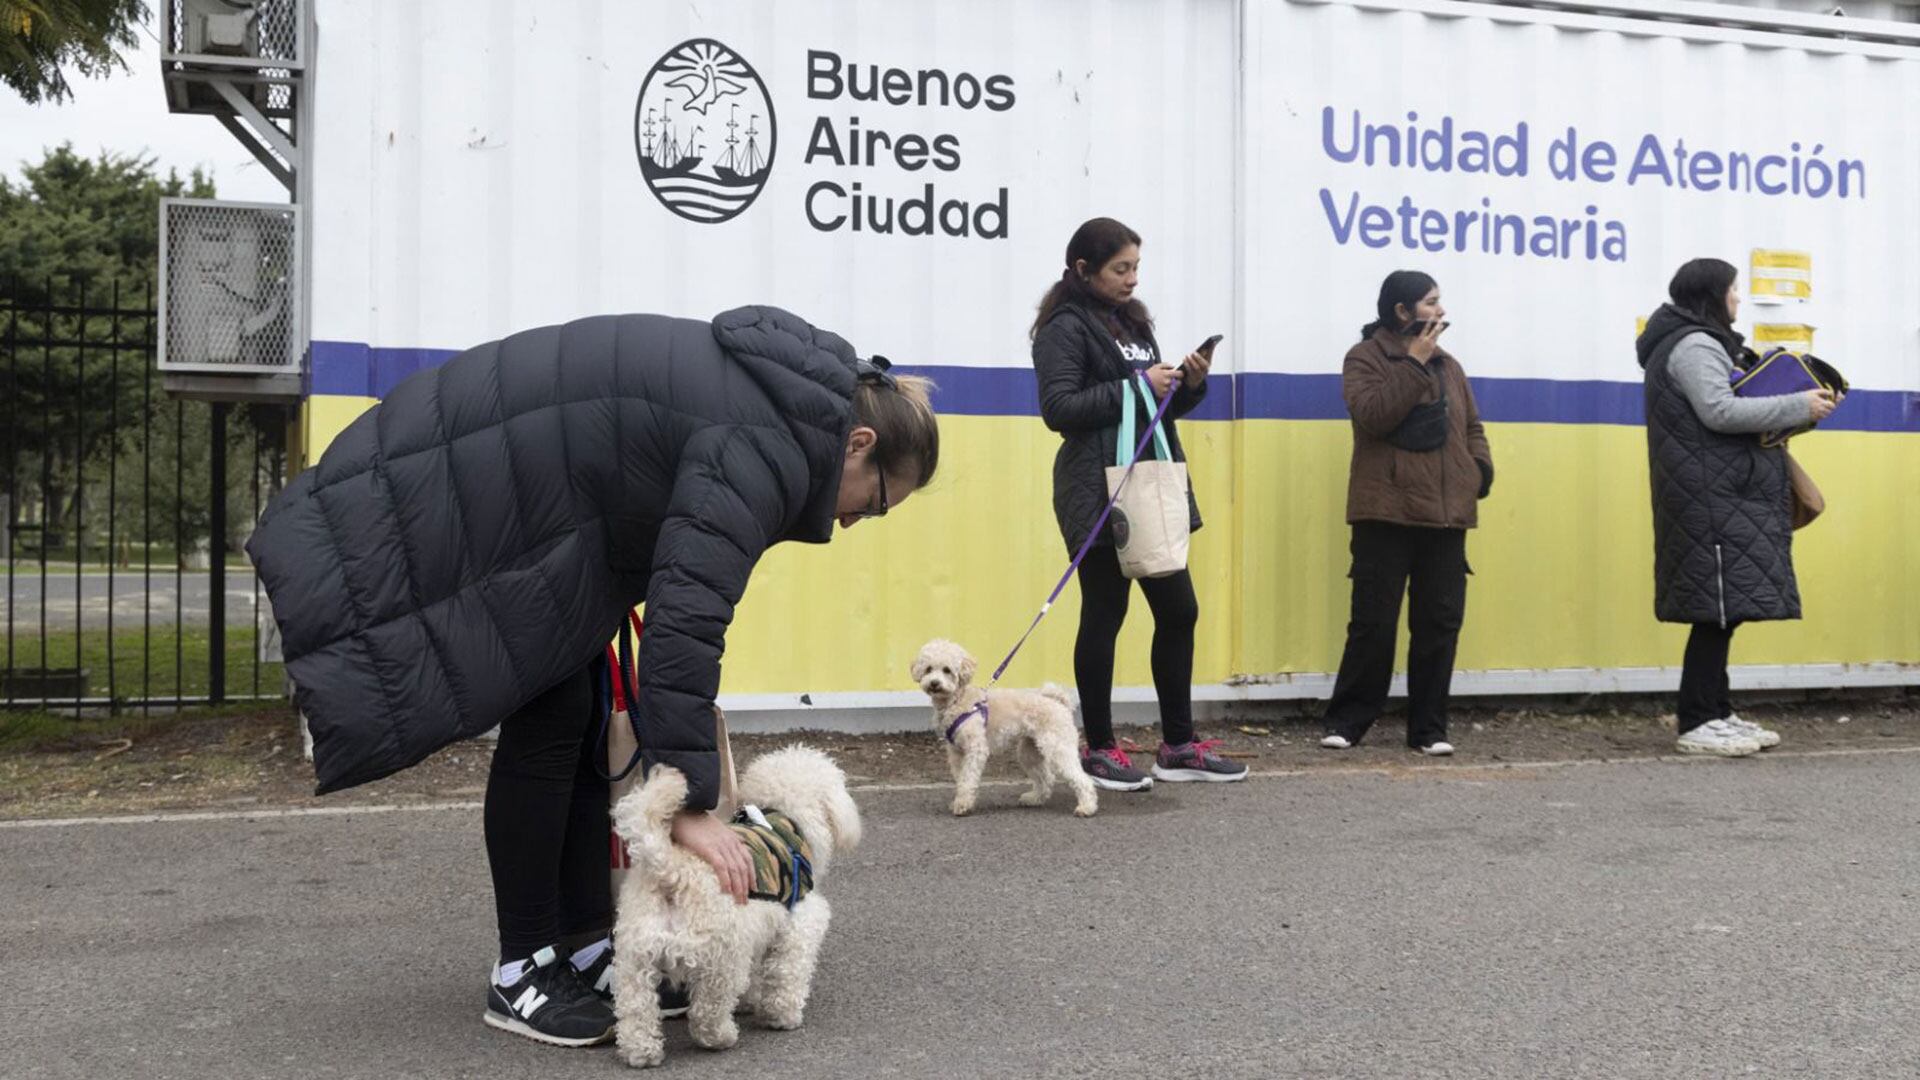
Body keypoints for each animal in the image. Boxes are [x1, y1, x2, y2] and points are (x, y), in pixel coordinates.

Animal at [610, 745, 860, 1060]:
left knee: (635, 1009)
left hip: (635, 958)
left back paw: (642, 1052)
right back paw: (722, 1037)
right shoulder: (798, 925)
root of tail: (673, 868)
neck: (784, 819)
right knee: (707, 1011)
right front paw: (781, 1017)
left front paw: (750, 1003)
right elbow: (787, 974)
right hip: (722, 957)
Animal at [910, 634, 1098, 810]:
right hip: (1029, 751)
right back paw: (1034, 799)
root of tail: (1059, 703)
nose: (934, 683)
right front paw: (961, 800)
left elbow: (968, 778)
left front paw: (963, 804)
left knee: (1082, 779)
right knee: (1046, 778)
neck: (957, 700)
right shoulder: (956, 752)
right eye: (928, 669)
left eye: (947, 670)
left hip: (1058, 747)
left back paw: (1086, 807)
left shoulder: (976, 749)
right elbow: (961, 777)